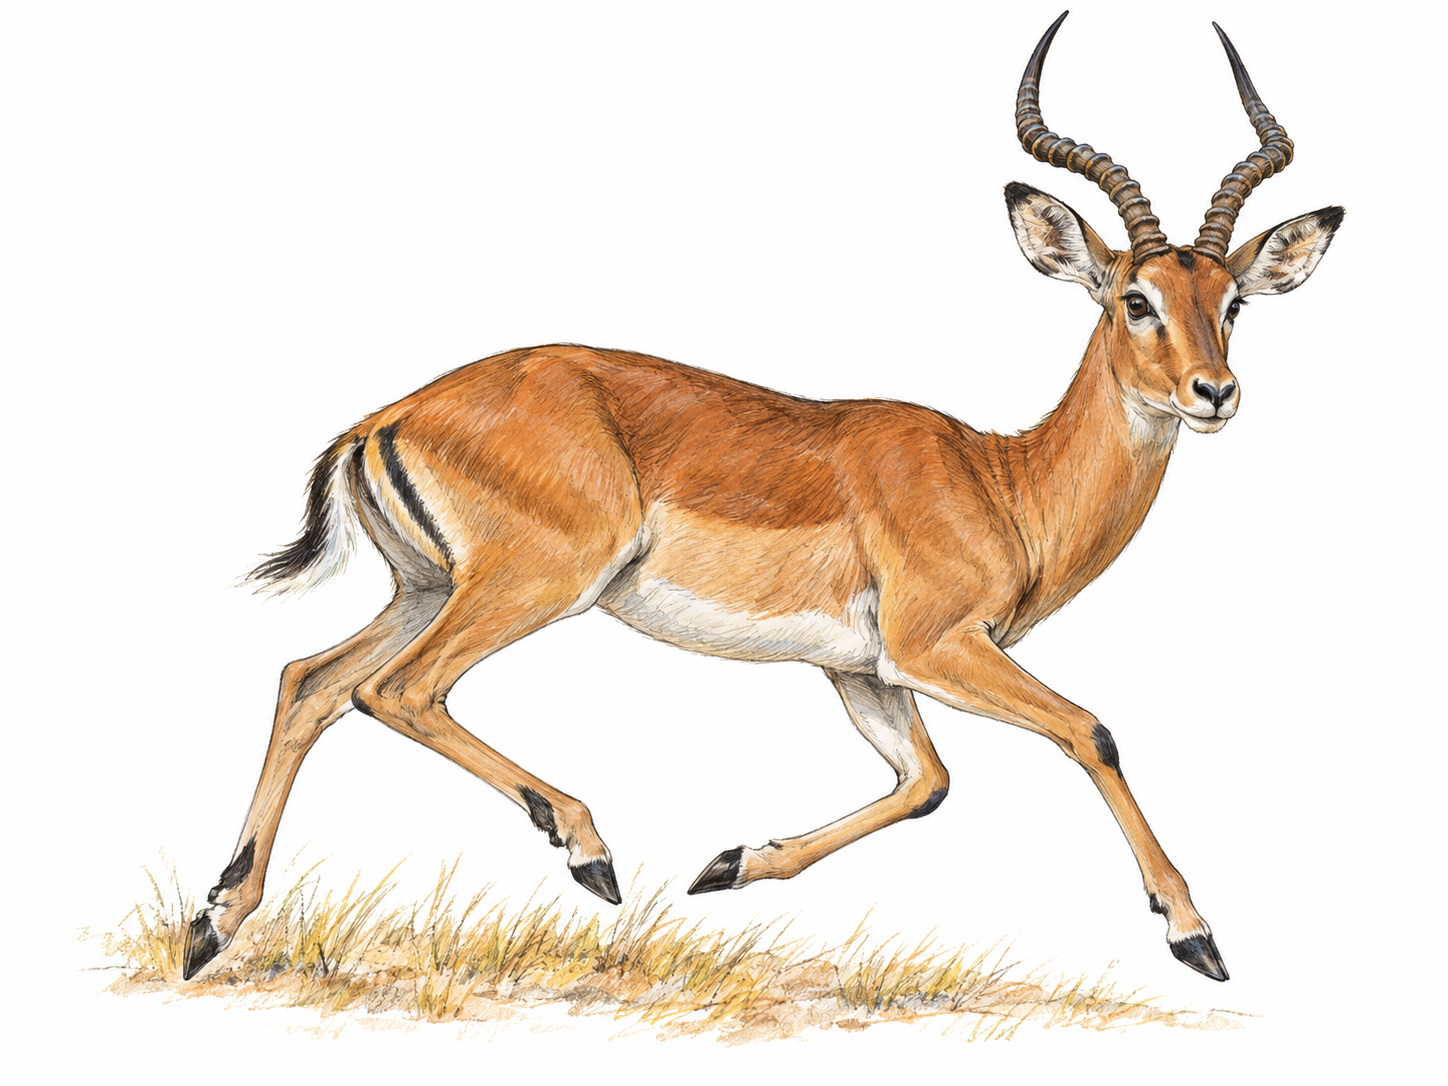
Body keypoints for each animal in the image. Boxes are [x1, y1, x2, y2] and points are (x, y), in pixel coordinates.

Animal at [183, 13, 1343, 983]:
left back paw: (211, 926)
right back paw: (588, 852)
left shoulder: (864, 672)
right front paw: (1195, 935)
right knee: (399, 690)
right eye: (1136, 298)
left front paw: (727, 864)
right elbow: (1089, 730)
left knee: (309, 681)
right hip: (532, 586)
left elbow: (926, 785)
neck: (1001, 481)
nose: (1213, 392)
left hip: (428, 589)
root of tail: (389, 416)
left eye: (1232, 301)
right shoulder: (935, 646)